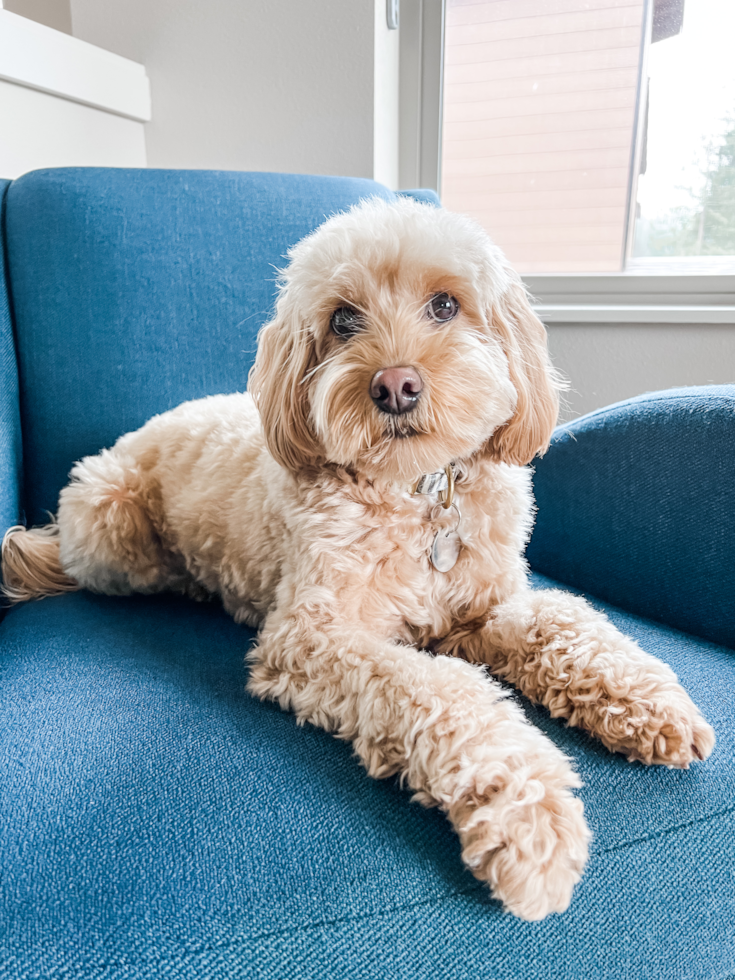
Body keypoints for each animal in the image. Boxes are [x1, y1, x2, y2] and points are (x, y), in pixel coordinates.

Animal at [0, 197, 712, 920]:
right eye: (343, 319)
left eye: (446, 305)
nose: (395, 385)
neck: (418, 489)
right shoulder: (311, 636)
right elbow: (442, 688)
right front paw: (528, 816)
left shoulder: (485, 609)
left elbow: (564, 621)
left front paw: (649, 702)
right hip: (111, 519)